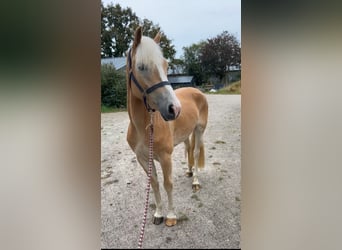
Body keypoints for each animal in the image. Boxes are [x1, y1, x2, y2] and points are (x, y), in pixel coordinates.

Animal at [125, 26, 207, 227]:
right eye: (141, 67)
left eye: (165, 65)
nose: (174, 109)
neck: (144, 128)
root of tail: (196, 90)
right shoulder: (143, 158)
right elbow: (154, 184)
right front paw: (158, 214)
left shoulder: (165, 157)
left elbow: (168, 184)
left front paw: (170, 216)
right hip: (186, 134)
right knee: (188, 149)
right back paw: (189, 171)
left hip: (199, 130)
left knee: (195, 152)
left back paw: (195, 181)